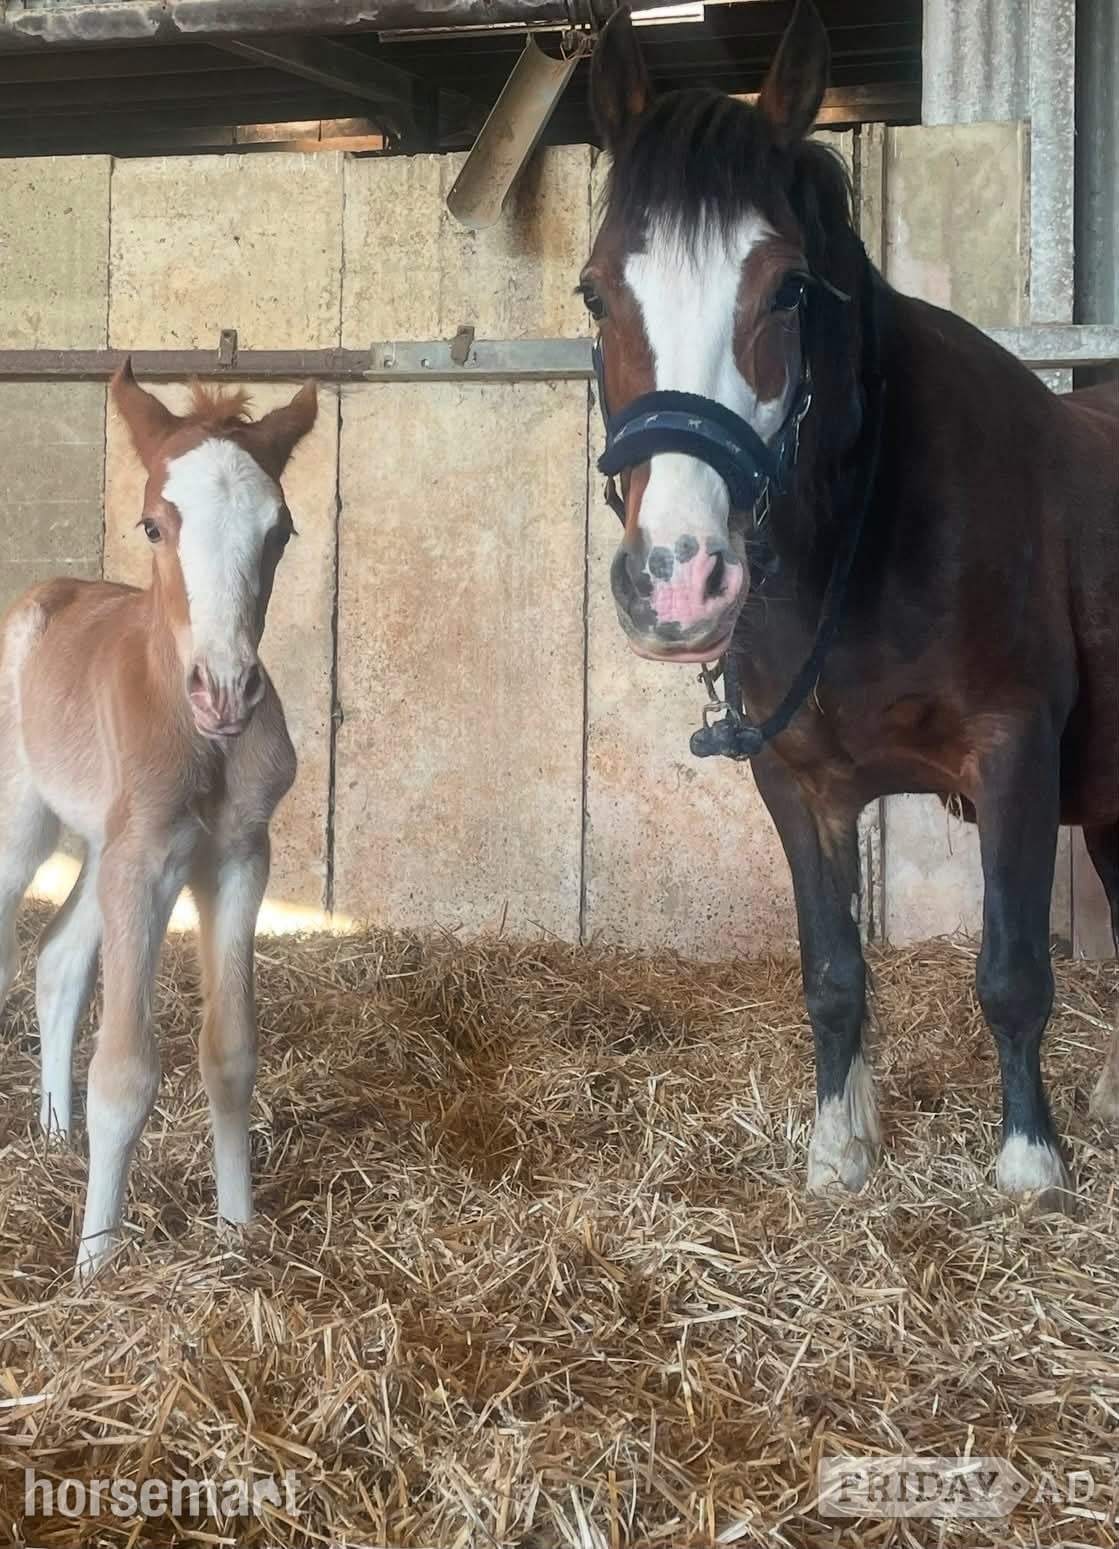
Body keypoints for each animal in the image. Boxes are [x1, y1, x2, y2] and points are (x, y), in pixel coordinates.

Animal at [0, 363, 316, 1277]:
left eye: (281, 531)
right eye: (153, 524)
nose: (226, 691)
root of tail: (49, 592)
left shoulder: (235, 858)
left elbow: (230, 1053)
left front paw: (238, 1232)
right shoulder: (142, 863)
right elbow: (126, 1072)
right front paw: (96, 1265)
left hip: (101, 846)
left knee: (57, 957)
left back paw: (54, 1132)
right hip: (25, 826)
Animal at [582, 0, 1119, 1208]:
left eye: (786, 287)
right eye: (594, 290)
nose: (677, 578)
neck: (861, 547)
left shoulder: (1014, 755)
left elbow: (1012, 971)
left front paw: (1030, 1162)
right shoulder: (798, 781)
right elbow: (831, 972)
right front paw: (840, 1148)